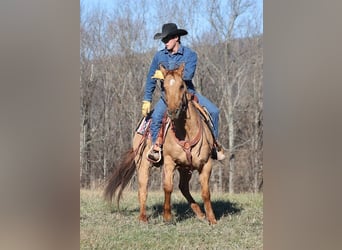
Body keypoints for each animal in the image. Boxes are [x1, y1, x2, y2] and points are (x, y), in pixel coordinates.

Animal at [103, 63, 216, 225]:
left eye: (182, 86)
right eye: (164, 87)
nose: (173, 111)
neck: (186, 133)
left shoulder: (206, 164)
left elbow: (206, 192)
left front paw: (212, 218)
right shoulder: (169, 161)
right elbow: (168, 187)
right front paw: (167, 216)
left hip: (185, 168)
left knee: (183, 187)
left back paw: (200, 213)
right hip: (143, 164)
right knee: (143, 189)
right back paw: (143, 217)